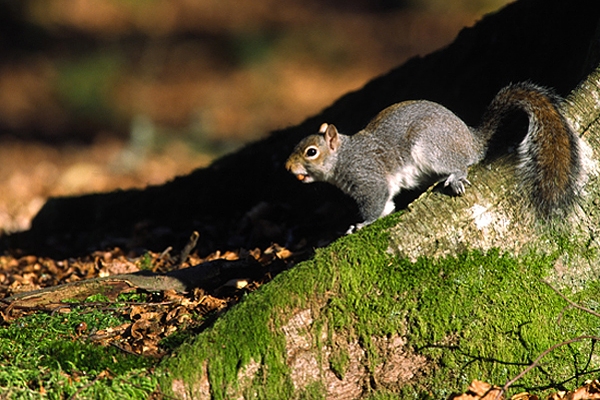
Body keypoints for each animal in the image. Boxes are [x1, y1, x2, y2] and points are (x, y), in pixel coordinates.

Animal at [288, 82, 584, 231]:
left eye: (311, 152)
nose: (288, 167)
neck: (343, 156)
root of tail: (471, 141)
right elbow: (387, 206)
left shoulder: (367, 177)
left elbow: (374, 202)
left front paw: (363, 223)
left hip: (430, 146)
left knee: (461, 164)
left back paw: (456, 176)